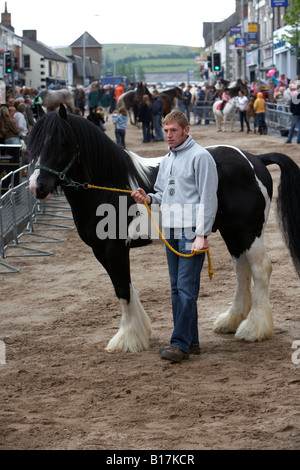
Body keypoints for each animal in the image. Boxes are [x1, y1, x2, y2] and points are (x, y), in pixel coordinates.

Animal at [28, 105, 300, 352]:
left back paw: (254, 329)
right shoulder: (101, 251)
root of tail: (254, 160)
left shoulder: (114, 249)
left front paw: (126, 339)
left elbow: (122, 289)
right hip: (232, 231)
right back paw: (230, 321)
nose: (37, 187)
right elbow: (126, 287)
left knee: (261, 269)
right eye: (32, 144)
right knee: (242, 270)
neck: (109, 186)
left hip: (248, 231)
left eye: (61, 143)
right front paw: (140, 331)